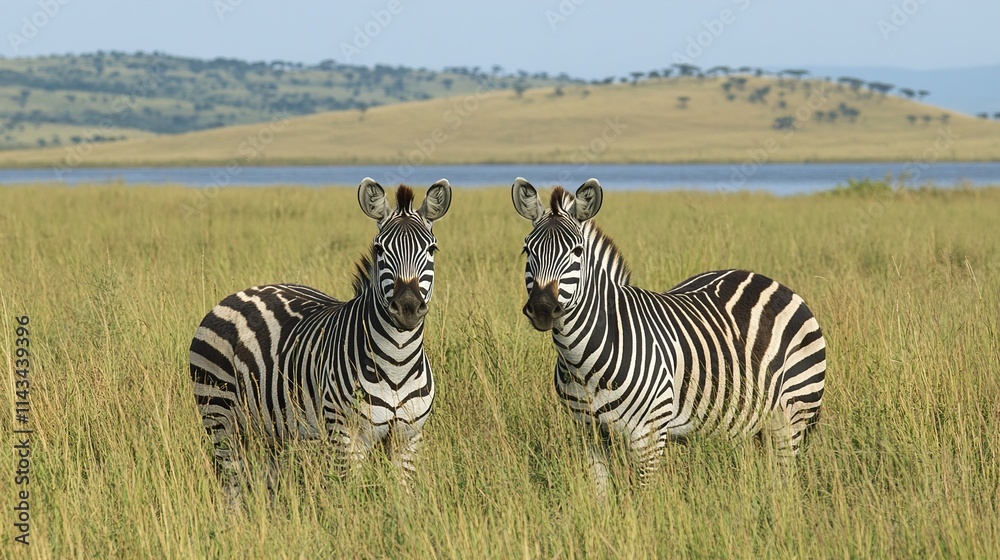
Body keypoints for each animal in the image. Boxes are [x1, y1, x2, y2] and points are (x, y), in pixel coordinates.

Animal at [189, 178, 451, 502]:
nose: (407, 307)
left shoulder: (409, 436)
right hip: (218, 415)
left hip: (269, 429)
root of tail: (240, 293)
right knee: (231, 483)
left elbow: (402, 496)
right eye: (379, 249)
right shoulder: (345, 434)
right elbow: (349, 496)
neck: (397, 362)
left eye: (432, 248)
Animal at [511, 177, 826, 496]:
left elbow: (642, 498)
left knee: (784, 480)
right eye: (527, 250)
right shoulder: (588, 433)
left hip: (792, 413)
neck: (581, 363)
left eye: (577, 251)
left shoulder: (648, 435)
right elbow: (600, 495)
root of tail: (769, 281)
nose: (542, 308)